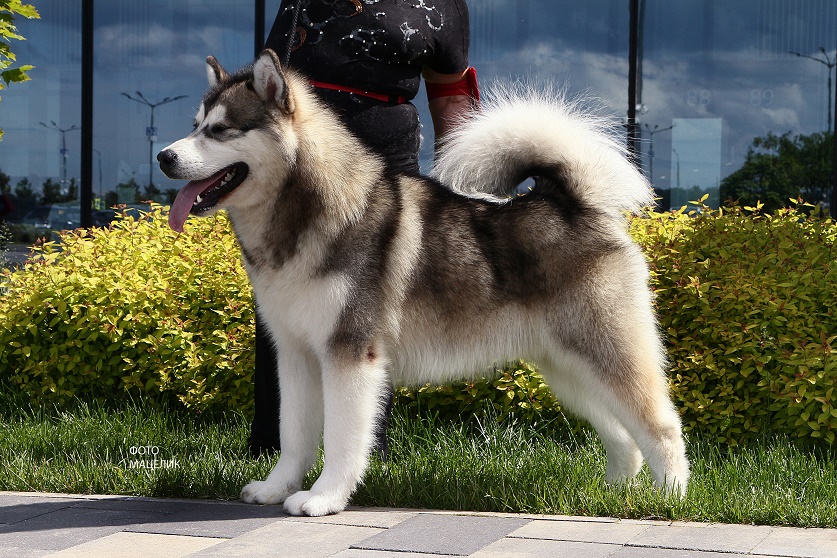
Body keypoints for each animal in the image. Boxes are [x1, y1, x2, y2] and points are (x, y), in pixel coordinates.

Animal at [158, 50, 692, 520]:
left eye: (220, 130)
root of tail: (572, 203)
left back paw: (668, 500)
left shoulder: (350, 355)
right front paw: (277, 488)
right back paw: (612, 495)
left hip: (605, 351)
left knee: (661, 426)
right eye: (194, 125)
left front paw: (324, 499)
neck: (304, 213)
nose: (163, 156)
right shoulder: (295, 354)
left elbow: (342, 438)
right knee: (621, 434)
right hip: (567, 367)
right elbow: (293, 435)